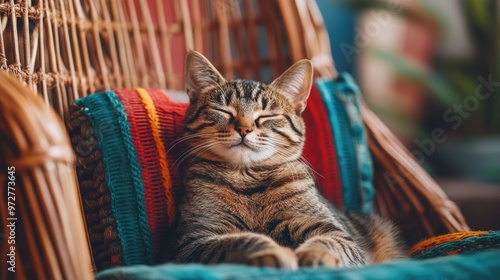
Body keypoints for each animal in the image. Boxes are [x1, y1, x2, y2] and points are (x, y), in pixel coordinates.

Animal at [173, 50, 406, 270]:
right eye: (223, 111)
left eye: (266, 116)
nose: (244, 129)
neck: (247, 179)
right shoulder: (195, 240)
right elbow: (241, 240)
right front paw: (274, 251)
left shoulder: (335, 232)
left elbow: (328, 242)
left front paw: (315, 254)